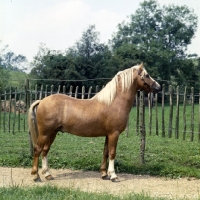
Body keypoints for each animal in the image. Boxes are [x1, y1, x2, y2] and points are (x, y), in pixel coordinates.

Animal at [27, 63, 161, 182]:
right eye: (147, 75)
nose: (159, 87)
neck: (114, 102)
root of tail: (42, 101)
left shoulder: (108, 134)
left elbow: (106, 152)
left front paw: (104, 174)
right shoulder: (114, 134)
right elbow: (112, 153)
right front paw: (113, 176)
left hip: (52, 133)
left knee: (45, 151)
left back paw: (48, 175)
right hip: (45, 133)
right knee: (38, 150)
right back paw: (36, 176)